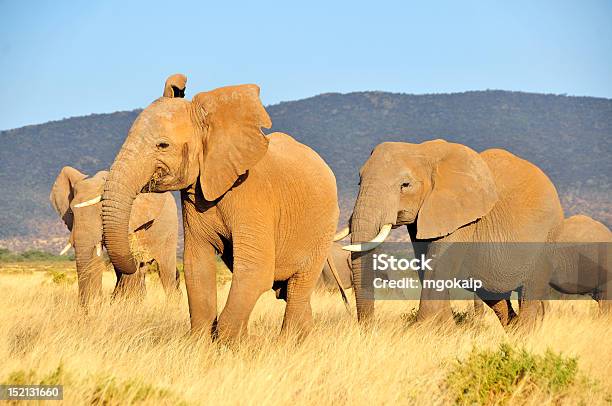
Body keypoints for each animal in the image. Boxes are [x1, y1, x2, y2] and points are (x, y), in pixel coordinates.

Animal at [100, 81, 340, 340]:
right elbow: (197, 267)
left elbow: (255, 270)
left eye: (162, 145)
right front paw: (202, 342)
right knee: (289, 292)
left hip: (323, 232)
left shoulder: (253, 195)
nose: (138, 260)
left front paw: (234, 343)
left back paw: (289, 343)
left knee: (298, 288)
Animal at [342, 140, 560, 326]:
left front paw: (422, 330)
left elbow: (438, 266)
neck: (424, 150)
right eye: (359, 182)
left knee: (530, 291)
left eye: (405, 185)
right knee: (495, 296)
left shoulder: (463, 218)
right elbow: (426, 265)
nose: (369, 328)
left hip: (547, 238)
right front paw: (446, 329)